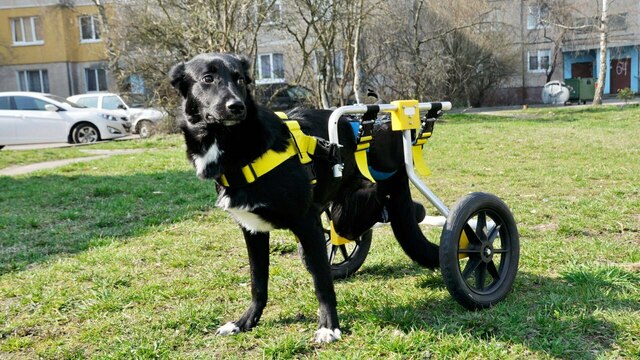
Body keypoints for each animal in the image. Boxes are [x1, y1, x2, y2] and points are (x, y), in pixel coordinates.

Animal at [170, 52, 440, 342]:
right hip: (345, 211)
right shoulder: (253, 230)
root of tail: (383, 124)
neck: (240, 144)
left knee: (396, 213)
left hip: (381, 198)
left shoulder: (307, 222)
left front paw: (329, 326)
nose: (237, 107)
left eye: (240, 79)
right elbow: (258, 282)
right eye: (208, 79)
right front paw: (245, 322)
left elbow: (322, 283)